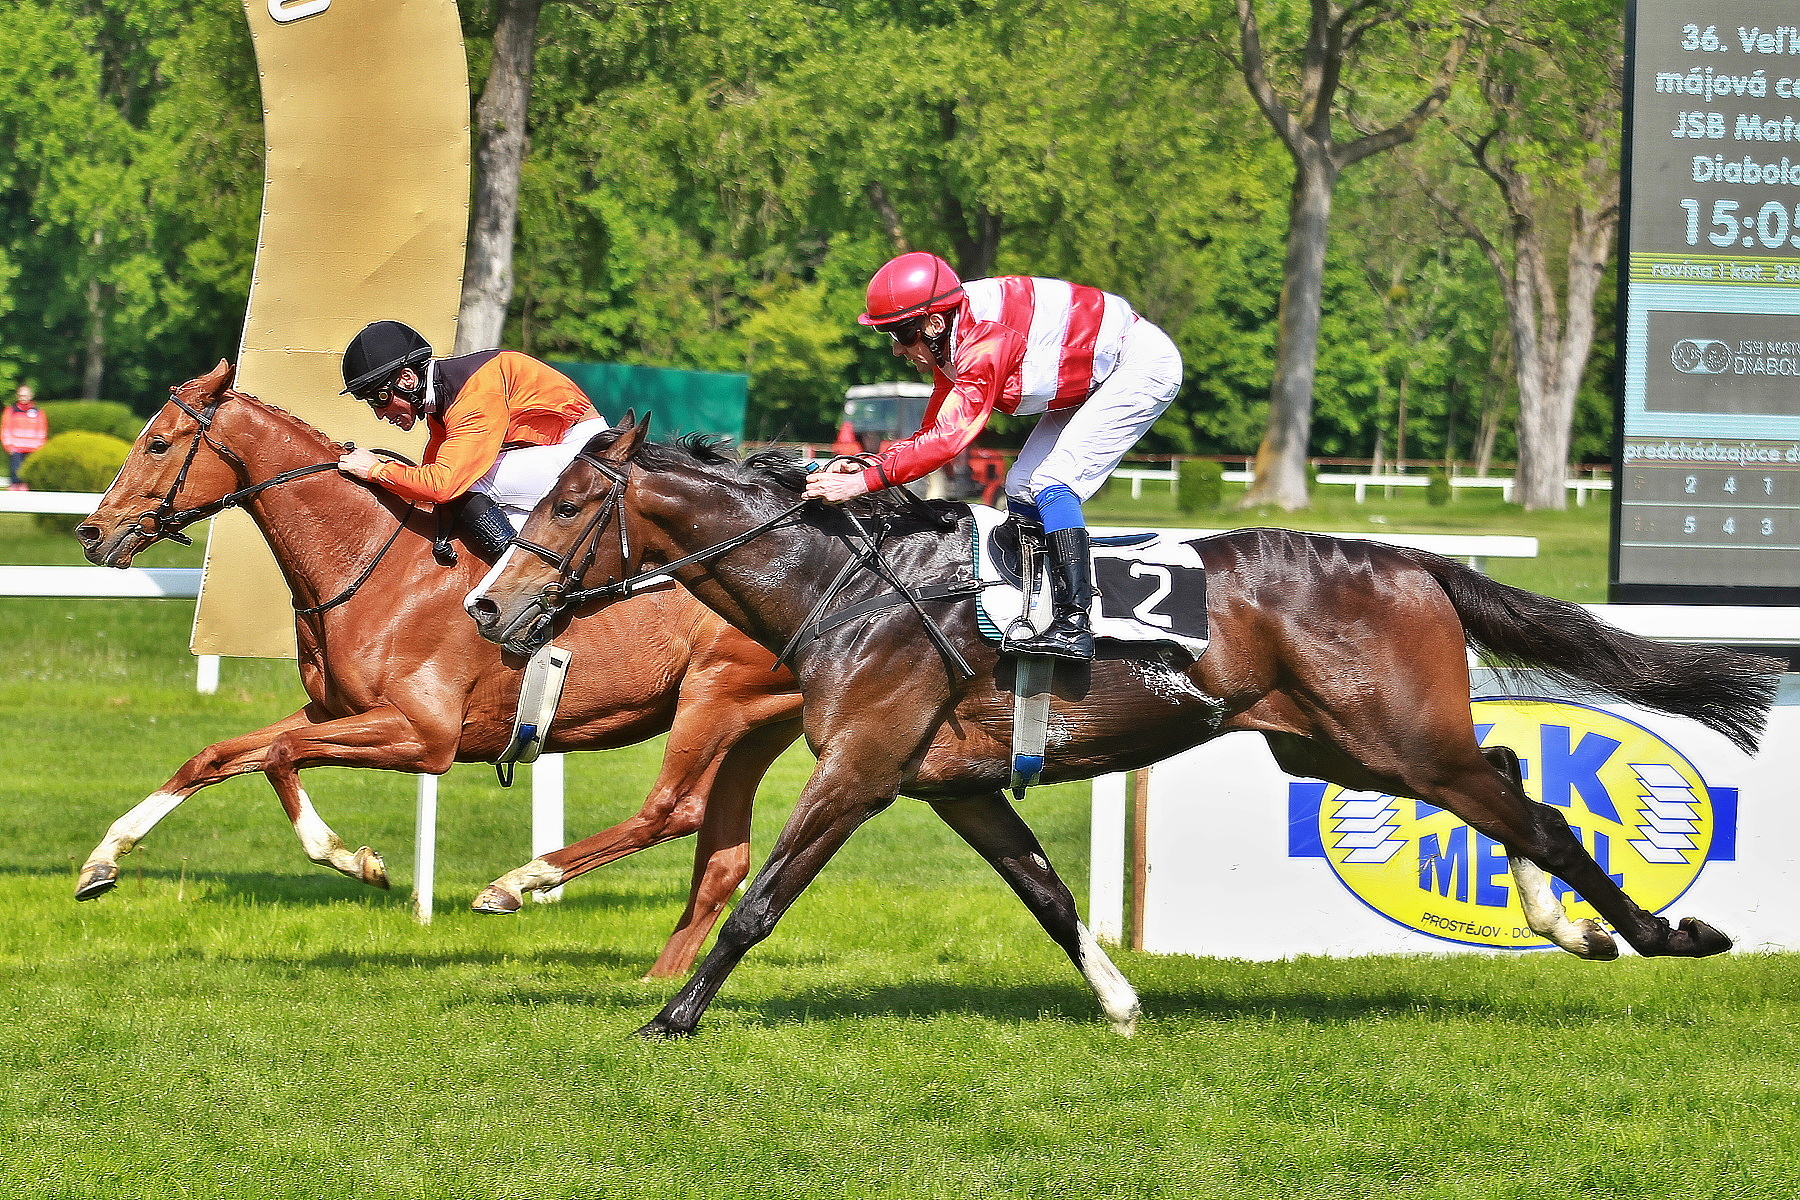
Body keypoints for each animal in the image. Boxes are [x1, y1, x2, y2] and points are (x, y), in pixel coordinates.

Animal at [72, 363, 802, 978]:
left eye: (158, 444)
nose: (91, 532)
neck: (368, 560)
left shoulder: (426, 735)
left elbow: (281, 755)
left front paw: (356, 860)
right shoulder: (336, 711)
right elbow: (216, 755)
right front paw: (102, 861)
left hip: (713, 699)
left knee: (673, 811)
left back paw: (517, 884)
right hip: (758, 725)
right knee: (722, 854)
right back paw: (660, 977)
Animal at [468, 417, 1785, 1036]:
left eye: (572, 506)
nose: (487, 605)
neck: (844, 584)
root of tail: (1410, 559)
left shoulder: (861, 767)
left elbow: (758, 901)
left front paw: (672, 1014)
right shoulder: (956, 785)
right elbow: (1051, 896)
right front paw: (1119, 1000)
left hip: (1396, 739)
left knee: (1540, 812)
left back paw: (1652, 933)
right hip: (1338, 744)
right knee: (1514, 774)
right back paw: (1574, 928)